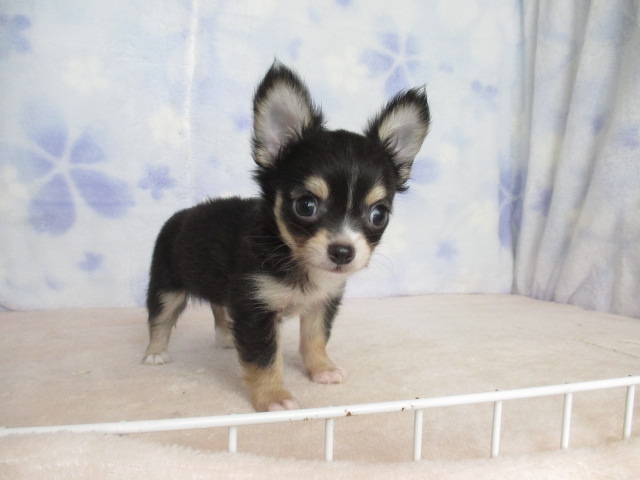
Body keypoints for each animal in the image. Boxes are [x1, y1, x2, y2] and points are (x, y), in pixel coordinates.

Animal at [143, 61, 430, 411]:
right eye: (305, 206)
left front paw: (321, 369)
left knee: (219, 307)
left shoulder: (321, 302)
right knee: (160, 317)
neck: (294, 256)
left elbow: (315, 338)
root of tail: (180, 215)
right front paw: (274, 397)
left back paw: (225, 338)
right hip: (166, 284)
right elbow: (264, 358)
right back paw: (155, 353)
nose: (343, 252)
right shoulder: (255, 308)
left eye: (379, 215)